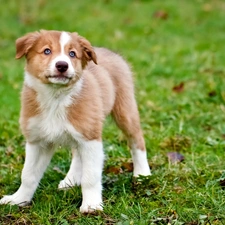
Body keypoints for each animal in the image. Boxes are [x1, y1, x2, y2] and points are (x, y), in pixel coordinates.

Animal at [0, 29, 151, 213]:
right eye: (47, 51)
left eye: (72, 54)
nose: (62, 65)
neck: (55, 98)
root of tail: (109, 51)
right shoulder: (37, 140)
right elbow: (28, 174)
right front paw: (18, 200)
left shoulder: (91, 138)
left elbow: (91, 177)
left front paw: (91, 205)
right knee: (78, 153)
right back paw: (70, 180)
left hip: (125, 111)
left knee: (137, 140)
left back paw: (142, 173)